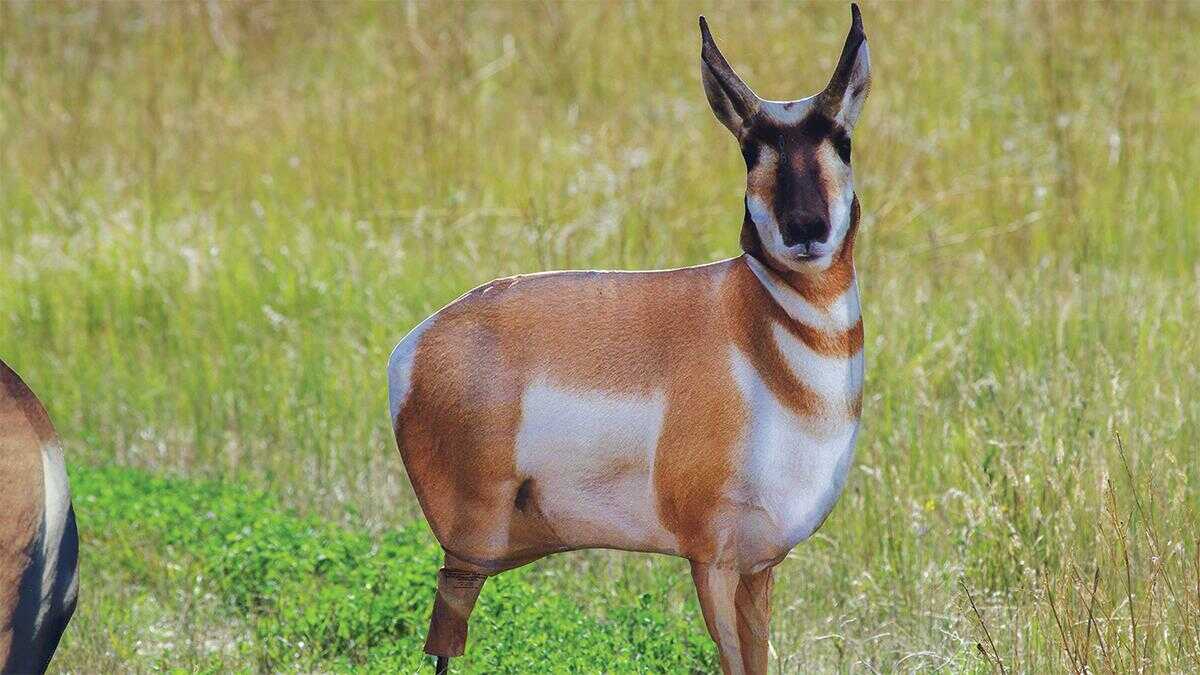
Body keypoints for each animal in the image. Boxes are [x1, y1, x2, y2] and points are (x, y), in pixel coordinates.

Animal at [393, 6, 873, 672]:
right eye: (751, 147)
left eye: (842, 140)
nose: (807, 228)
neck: (758, 335)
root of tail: (415, 344)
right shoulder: (711, 561)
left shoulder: (759, 567)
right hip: (473, 549)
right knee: (444, 638)